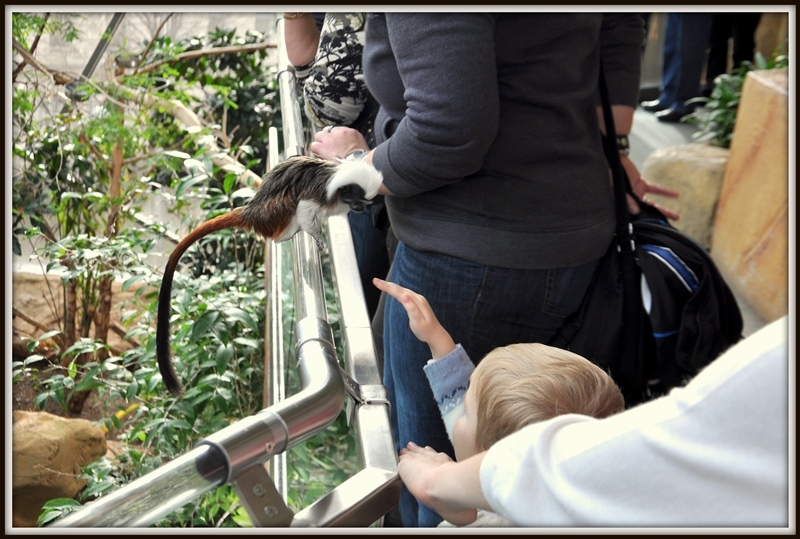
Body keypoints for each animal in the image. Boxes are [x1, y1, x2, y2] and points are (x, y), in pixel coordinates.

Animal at [158, 156, 382, 396]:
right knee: (289, 207)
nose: (360, 209)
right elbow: (305, 210)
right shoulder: (318, 196)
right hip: (275, 214)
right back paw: (288, 233)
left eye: (365, 202)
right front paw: (318, 239)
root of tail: (252, 211)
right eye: (357, 201)